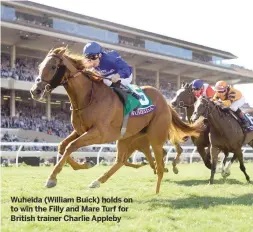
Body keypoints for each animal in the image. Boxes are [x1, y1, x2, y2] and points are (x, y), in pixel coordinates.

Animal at [30, 47, 204, 194]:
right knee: (121, 160)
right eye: (39, 66)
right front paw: (83, 165)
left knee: (158, 161)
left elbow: (71, 146)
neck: (89, 97)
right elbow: (63, 146)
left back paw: (157, 189)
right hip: (127, 136)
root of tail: (166, 102)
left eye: (53, 67)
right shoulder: (80, 131)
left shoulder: (99, 133)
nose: (35, 91)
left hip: (155, 136)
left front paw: (52, 178)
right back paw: (98, 181)